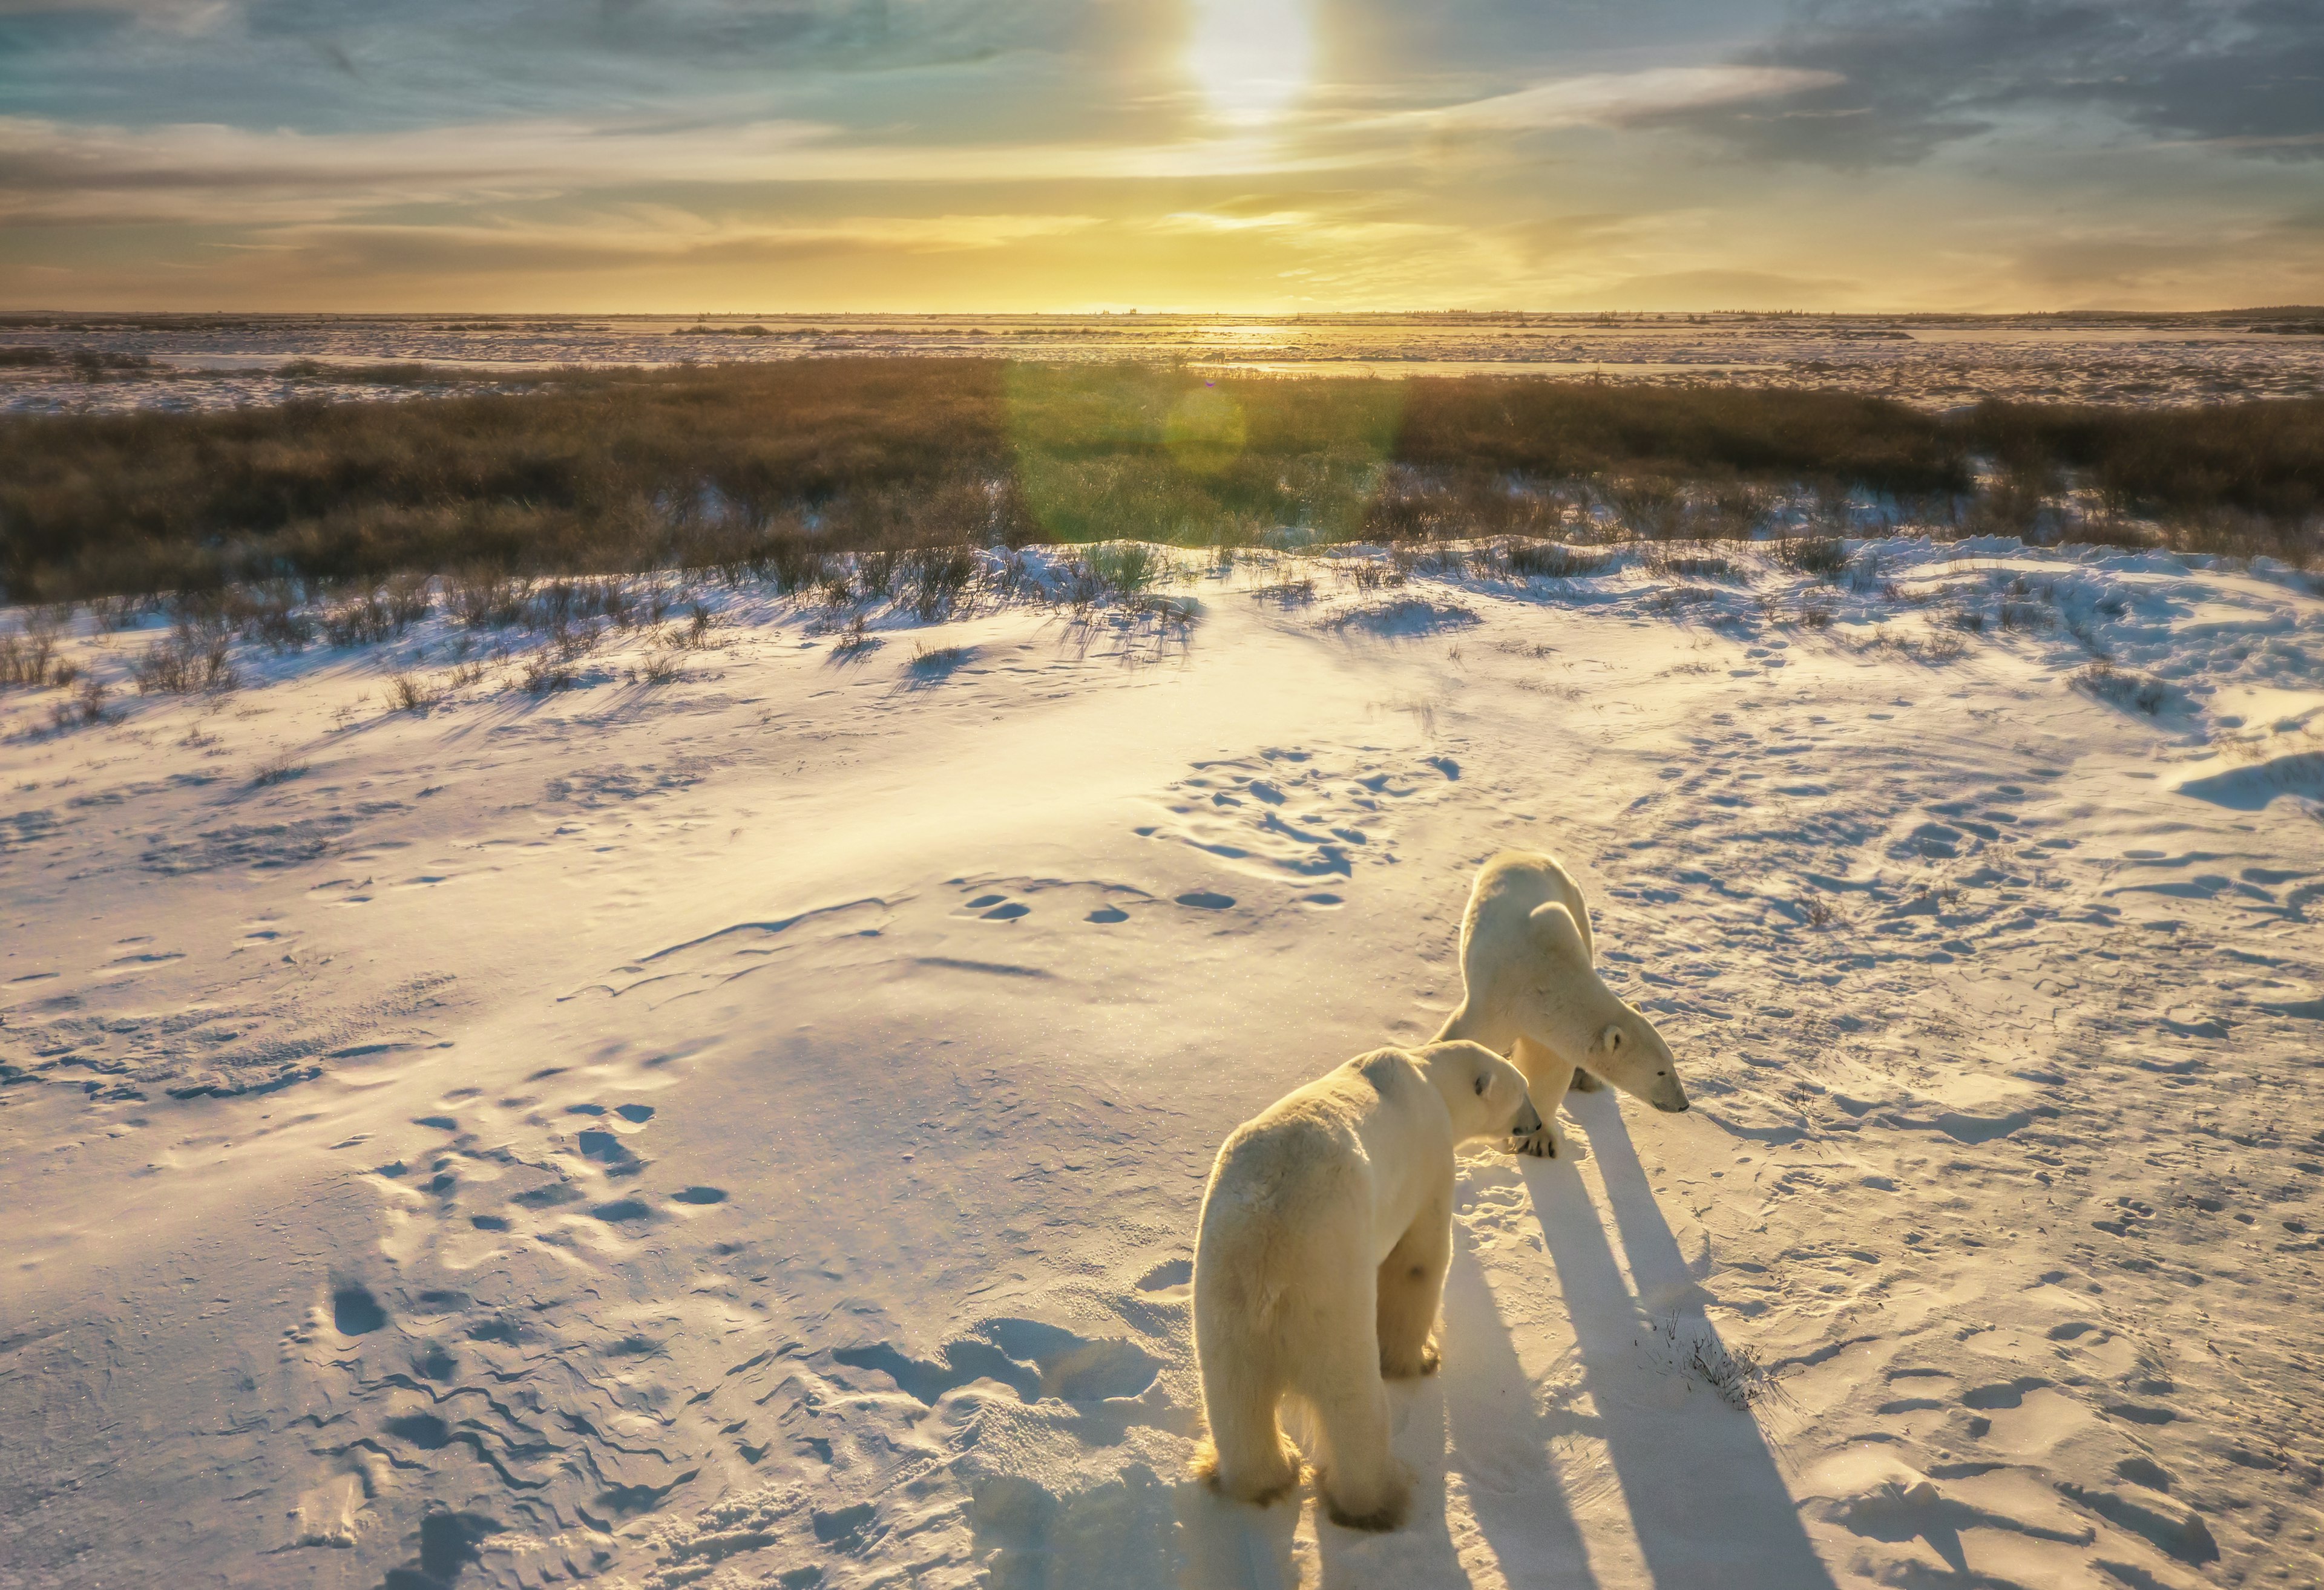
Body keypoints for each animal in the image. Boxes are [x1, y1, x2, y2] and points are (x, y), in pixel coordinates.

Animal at [1199, 1036, 1543, 1534]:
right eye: (1523, 1091)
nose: (1537, 1123)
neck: (1428, 1077)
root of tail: (1267, 1264)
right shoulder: (1430, 1160)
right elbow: (1417, 1262)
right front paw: (1420, 1358)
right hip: (1330, 1296)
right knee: (1352, 1405)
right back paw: (1377, 1499)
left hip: (1222, 1300)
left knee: (1236, 1400)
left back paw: (1269, 1475)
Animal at [1431, 851, 1692, 1162]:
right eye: (1661, 1071)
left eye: (1672, 1062)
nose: (1683, 1104)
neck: (1545, 980)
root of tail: (1519, 852)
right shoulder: (1497, 1002)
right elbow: (1464, 1038)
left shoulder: (1549, 1028)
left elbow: (1548, 1071)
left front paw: (1538, 1141)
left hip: (1575, 902)